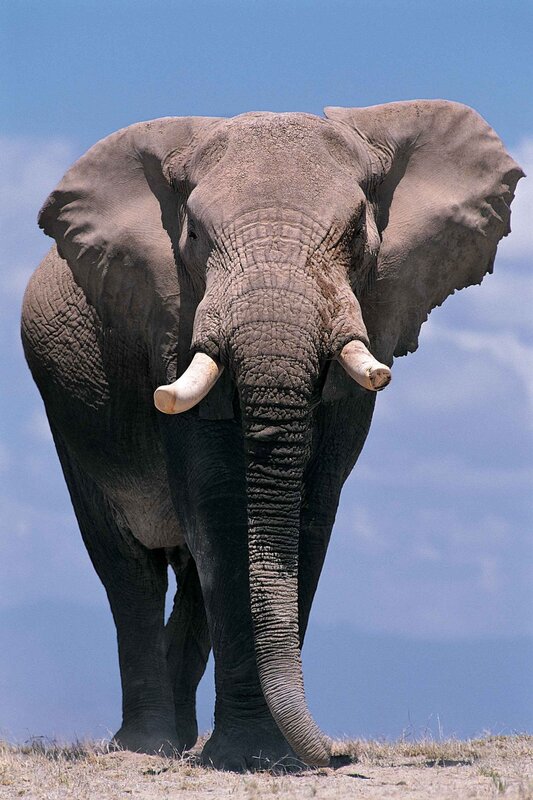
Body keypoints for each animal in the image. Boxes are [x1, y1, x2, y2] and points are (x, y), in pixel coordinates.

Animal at [21, 100, 522, 770]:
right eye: (194, 238)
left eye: (358, 236)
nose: (337, 754)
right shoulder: (171, 322)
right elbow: (220, 506)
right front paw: (250, 756)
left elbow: (311, 508)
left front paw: (267, 754)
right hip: (67, 414)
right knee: (128, 568)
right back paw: (147, 747)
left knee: (188, 580)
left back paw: (182, 741)